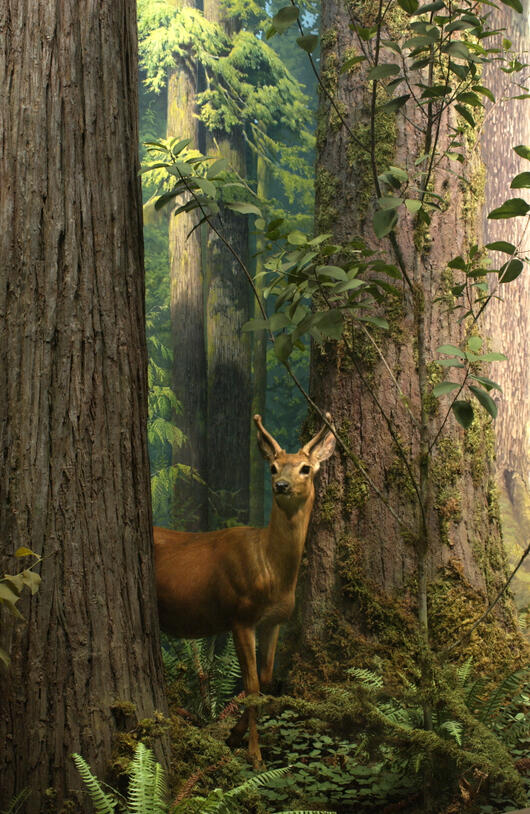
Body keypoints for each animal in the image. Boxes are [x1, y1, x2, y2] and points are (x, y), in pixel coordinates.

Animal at [154, 418, 334, 768]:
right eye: (273, 467)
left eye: (305, 468)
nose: (281, 485)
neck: (271, 569)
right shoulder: (240, 616)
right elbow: (249, 685)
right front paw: (254, 754)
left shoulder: (274, 621)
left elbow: (265, 680)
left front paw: (234, 735)